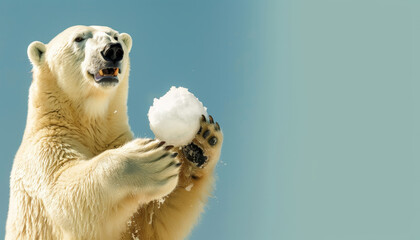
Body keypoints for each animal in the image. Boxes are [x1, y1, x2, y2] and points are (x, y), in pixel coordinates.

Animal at [5, 25, 223, 240]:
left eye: (115, 36)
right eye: (78, 38)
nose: (113, 50)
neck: (85, 120)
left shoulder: (113, 137)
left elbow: (154, 221)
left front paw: (200, 142)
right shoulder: (44, 149)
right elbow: (63, 195)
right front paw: (149, 158)